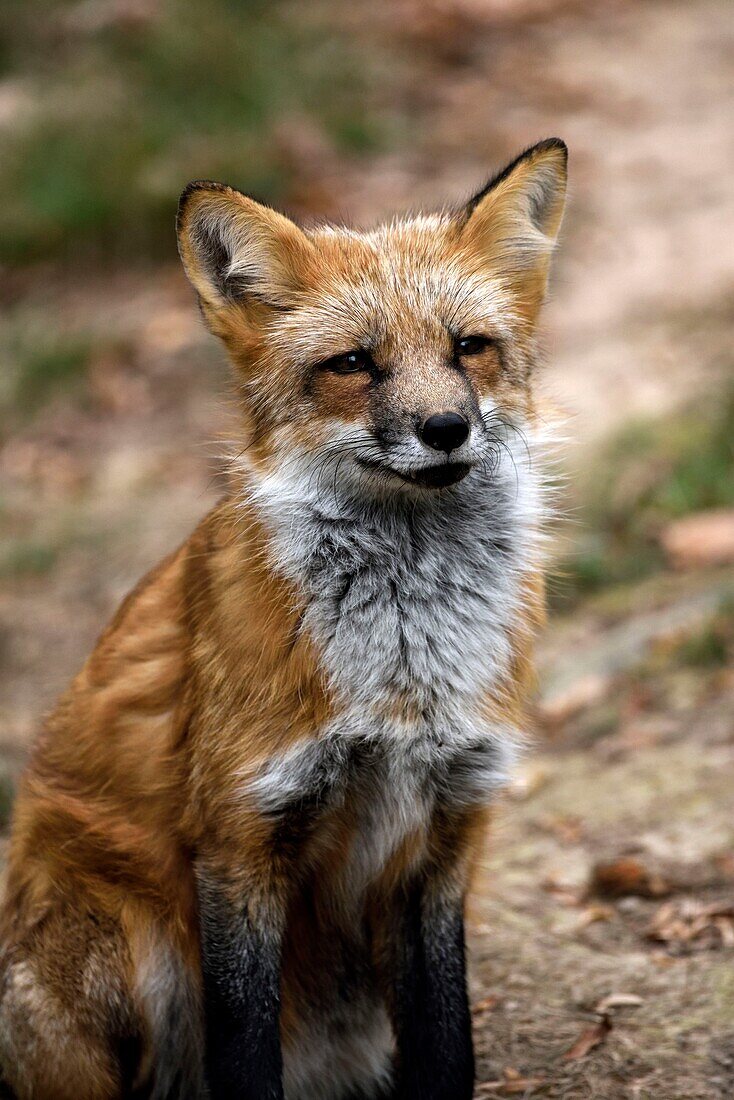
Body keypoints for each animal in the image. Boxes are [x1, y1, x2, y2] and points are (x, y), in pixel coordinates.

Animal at [0, 139, 567, 1100]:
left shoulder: (445, 831)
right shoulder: (241, 835)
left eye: (470, 349)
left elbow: (448, 1043)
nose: (445, 427)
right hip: (136, 946)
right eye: (353, 364)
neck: (402, 681)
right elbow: (245, 1051)